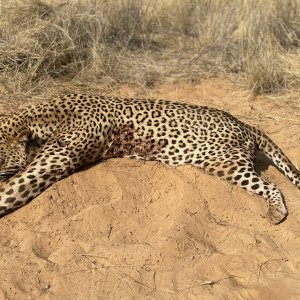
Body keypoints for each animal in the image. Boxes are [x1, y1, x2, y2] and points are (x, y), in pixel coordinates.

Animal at [0, 94, 298, 223]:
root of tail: (245, 123)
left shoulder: (45, 167)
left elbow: (6, 193)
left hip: (226, 163)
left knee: (272, 186)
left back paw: (276, 212)